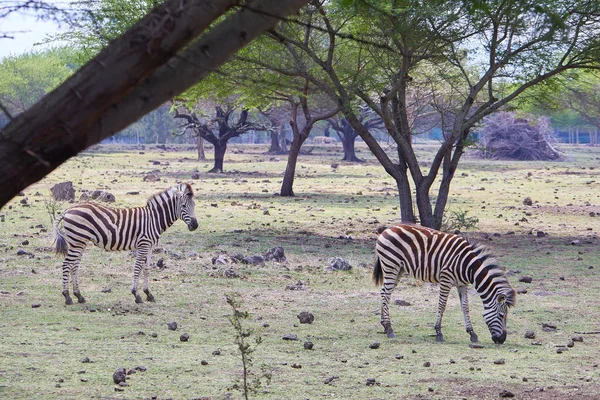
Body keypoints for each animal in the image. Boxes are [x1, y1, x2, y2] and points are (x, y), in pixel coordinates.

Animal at [52, 183, 198, 304]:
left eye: (194, 205)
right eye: (183, 206)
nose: (195, 226)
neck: (154, 219)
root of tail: (68, 210)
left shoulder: (150, 246)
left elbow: (146, 269)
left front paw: (148, 294)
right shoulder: (143, 244)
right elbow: (137, 268)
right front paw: (136, 295)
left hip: (80, 241)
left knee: (74, 265)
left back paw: (79, 296)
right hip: (77, 240)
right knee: (67, 264)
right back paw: (67, 297)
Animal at [372, 225, 512, 344]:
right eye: (501, 315)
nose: (502, 340)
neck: (468, 267)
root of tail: (388, 229)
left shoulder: (462, 284)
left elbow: (465, 307)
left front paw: (472, 333)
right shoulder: (446, 279)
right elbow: (442, 305)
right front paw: (439, 332)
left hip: (398, 269)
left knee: (385, 292)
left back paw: (384, 325)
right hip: (391, 265)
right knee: (386, 294)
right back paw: (389, 329)